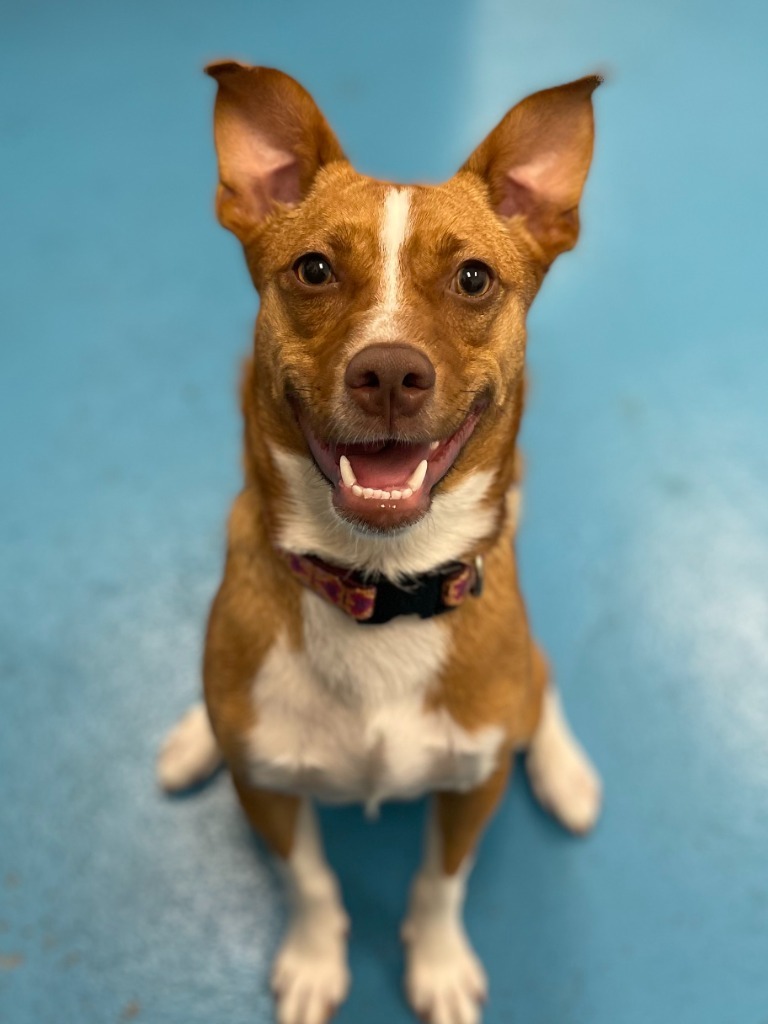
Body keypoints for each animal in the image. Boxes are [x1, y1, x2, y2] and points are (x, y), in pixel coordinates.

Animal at [154, 61, 602, 1024]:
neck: (379, 586)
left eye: (473, 278)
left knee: (541, 682)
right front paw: (315, 958)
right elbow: (310, 882)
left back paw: (567, 772)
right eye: (314, 268)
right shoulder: (266, 790)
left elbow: (440, 882)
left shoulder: (473, 788)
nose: (390, 372)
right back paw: (192, 735)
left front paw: (437, 964)